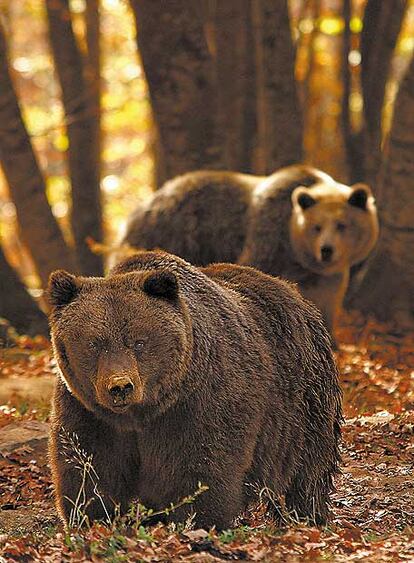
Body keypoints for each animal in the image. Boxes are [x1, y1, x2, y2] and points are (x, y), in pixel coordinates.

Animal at [48, 249, 342, 532]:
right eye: (94, 343)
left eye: (139, 342)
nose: (120, 387)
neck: (143, 413)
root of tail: (293, 292)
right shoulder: (90, 411)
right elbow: (90, 466)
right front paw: (91, 516)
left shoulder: (199, 403)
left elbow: (201, 467)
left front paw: (198, 520)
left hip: (301, 406)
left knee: (306, 472)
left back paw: (305, 515)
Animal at [119, 165, 378, 338]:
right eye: (317, 226)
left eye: (342, 224)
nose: (326, 250)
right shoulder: (267, 239)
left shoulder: (326, 276)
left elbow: (328, 299)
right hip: (174, 233)